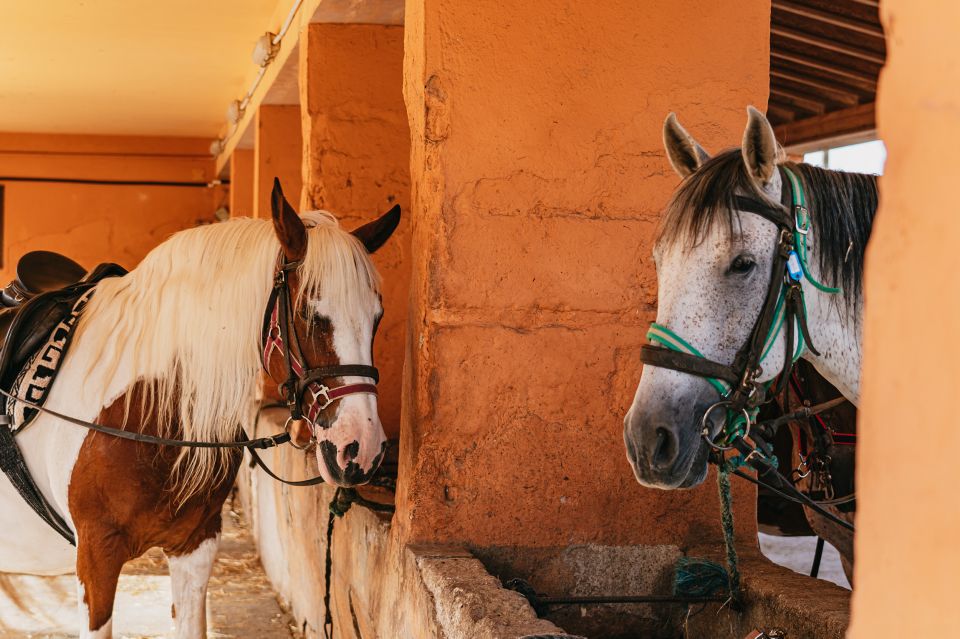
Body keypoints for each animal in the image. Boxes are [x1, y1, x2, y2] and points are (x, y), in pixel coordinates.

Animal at [0, 181, 398, 639]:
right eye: (308, 313)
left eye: (377, 317)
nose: (360, 448)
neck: (146, 412)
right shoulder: (96, 558)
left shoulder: (196, 544)